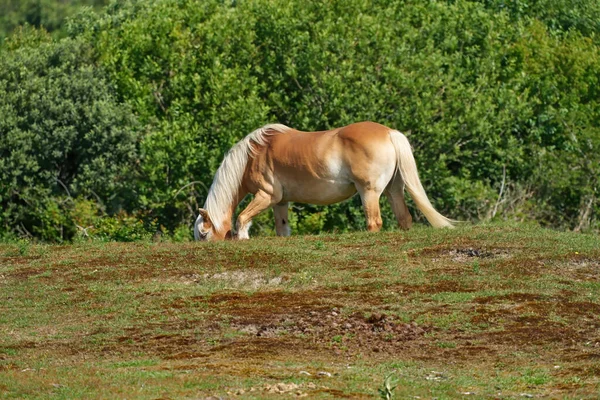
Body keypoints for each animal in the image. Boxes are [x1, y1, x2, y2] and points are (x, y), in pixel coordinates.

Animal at [195, 121, 452, 241]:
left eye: (204, 233)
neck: (254, 154)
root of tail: (390, 133)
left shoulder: (266, 195)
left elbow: (242, 218)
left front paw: (243, 237)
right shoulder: (281, 202)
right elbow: (282, 229)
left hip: (369, 192)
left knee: (374, 223)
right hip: (393, 190)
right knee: (404, 218)